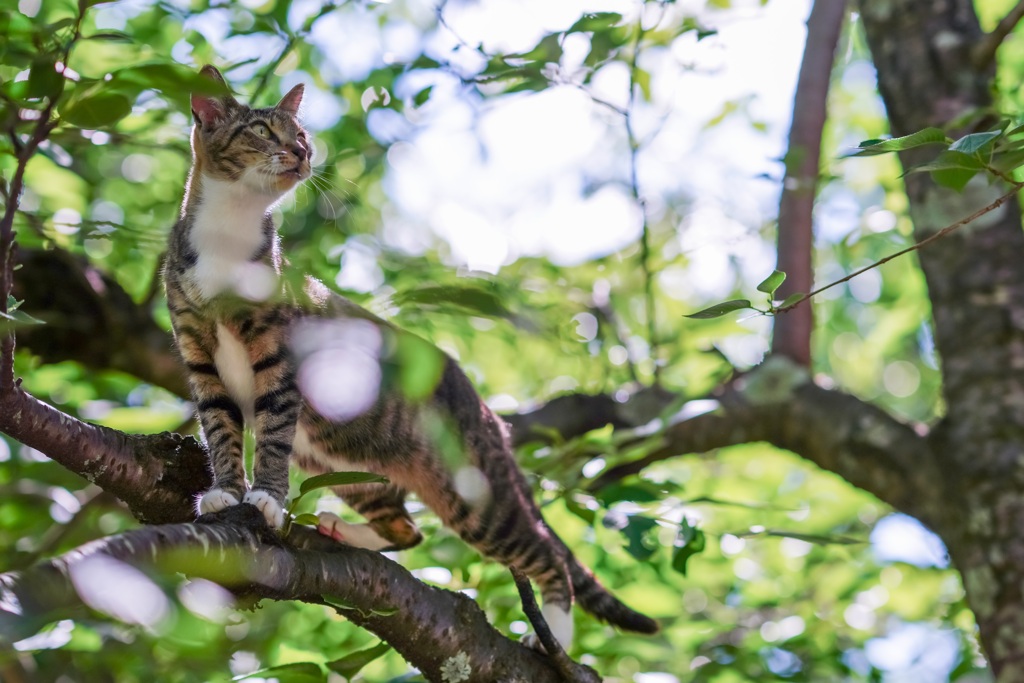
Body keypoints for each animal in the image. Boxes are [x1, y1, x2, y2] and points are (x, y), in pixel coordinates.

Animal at [159, 65, 655, 651]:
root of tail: (490, 417)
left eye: (301, 134)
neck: (228, 236)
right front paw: (225, 492)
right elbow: (220, 428)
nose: (301, 153)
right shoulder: (198, 353)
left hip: (474, 490)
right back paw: (347, 530)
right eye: (261, 130)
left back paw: (554, 634)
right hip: (343, 464)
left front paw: (266, 498)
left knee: (545, 551)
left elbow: (275, 433)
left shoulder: (279, 359)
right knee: (408, 528)